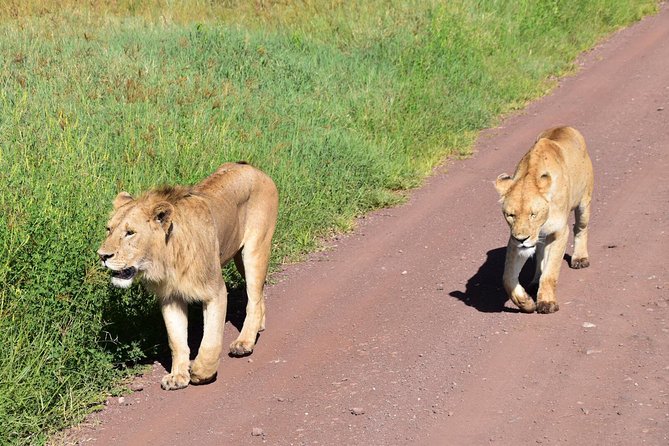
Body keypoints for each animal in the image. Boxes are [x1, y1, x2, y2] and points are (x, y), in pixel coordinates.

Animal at [97, 162, 279, 390]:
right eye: (108, 229)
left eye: (130, 232)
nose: (102, 256)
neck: (168, 260)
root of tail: (253, 168)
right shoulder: (170, 297)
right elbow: (176, 340)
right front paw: (177, 376)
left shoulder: (215, 291)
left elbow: (210, 339)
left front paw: (201, 372)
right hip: (239, 257)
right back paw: (258, 327)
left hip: (255, 249)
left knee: (253, 297)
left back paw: (244, 342)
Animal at [494, 126, 593, 314]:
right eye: (511, 215)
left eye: (533, 214)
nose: (522, 239)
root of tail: (565, 126)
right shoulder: (513, 238)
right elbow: (507, 278)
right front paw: (525, 302)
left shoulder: (559, 232)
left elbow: (550, 273)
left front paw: (547, 303)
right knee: (540, 252)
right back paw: (534, 282)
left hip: (584, 202)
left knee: (580, 227)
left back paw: (580, 258)